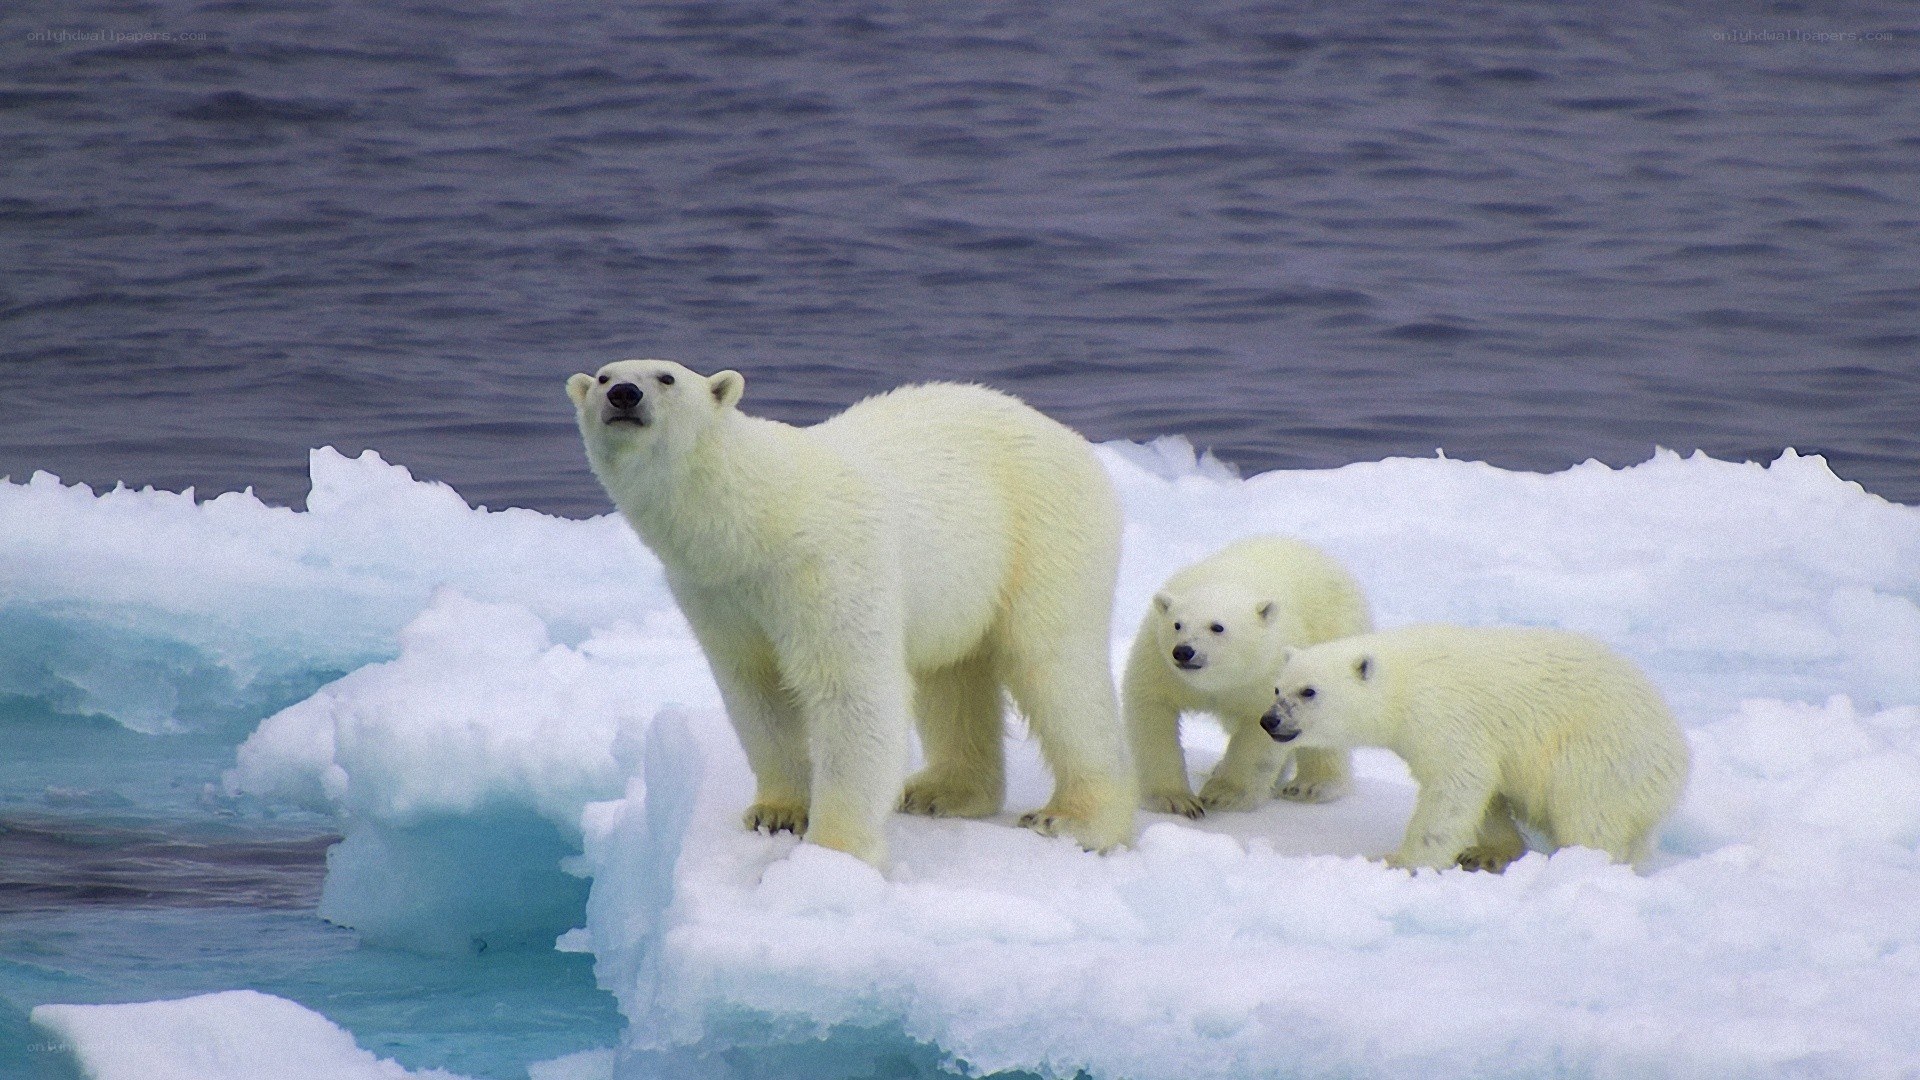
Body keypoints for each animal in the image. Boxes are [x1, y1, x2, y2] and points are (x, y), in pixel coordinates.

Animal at [568, 359, 1136, 867]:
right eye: (603, 376)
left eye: (665, 377)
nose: (623, 395)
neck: (757, 516)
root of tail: (1072, 440)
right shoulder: (715, 593)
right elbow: (756, 689)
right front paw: (776, 813)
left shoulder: (826, 564)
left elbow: (851, 691)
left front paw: (833, 852)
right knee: (952, 675)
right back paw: (940, 791)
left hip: (1043, 530)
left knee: (1053, 666)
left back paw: (1074, 820)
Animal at [1123, 536, 1372, 818]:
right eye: (1177, 624)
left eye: (1217, 627)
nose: (1184, 651)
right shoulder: (1160, 662)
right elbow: (1152, 712)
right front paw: (1176, 800)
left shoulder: (1268, 669)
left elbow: (1260, 730)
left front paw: (1222, 795)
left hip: (1334, 635)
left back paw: (1311, 786)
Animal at [1262, 624, 1690, 872]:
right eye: (1278, 688)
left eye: (1309, 691)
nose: (1269, 721)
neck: (1403, 679)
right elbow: (1484, 789)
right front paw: (1485, 851)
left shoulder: (1445, 713)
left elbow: (1456, 783)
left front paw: (1398, 861)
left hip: (1603, 752)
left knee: (1588, 813)